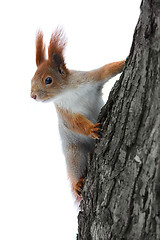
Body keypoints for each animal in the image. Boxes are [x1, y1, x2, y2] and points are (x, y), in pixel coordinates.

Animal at [30, 27, 125, 201]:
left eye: (48, 80)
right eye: (31, 79)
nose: (32, 95)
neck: (67, 92)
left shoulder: (90, 79)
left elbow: (106, 70)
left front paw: (124, 61)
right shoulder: (65, 112)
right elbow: (74, 123)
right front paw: (92, 129)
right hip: (74, 154)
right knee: (75, 169)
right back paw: (77, 183)